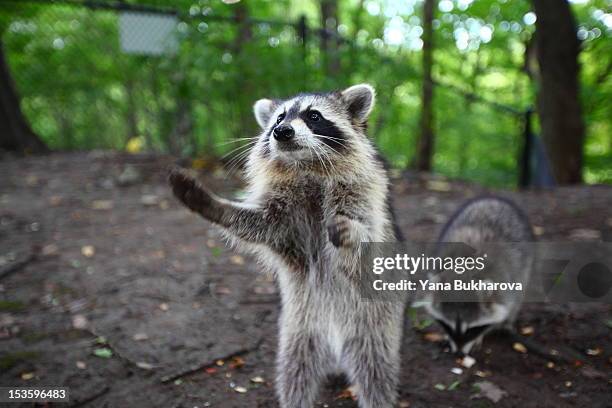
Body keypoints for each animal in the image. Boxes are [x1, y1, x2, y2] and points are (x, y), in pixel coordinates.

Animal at [167, 83, 406, 408]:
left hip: (372, 325)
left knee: (376, 372)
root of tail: (336, 349)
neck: (307, 167)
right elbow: (257, 225)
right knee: (295, 374)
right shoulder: (285, 221)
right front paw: (215, 205)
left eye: (314, 116)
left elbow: (369, 243)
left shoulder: (364, 197)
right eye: (279, 117)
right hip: (299, 332)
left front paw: (353, 233)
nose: (281, 131)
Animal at [424, 196, 532, 356]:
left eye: (471, 331)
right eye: (448, 327)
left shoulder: (505, 288)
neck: (463, 273)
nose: (459, 354)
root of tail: (493, 199)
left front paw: (481, 335)